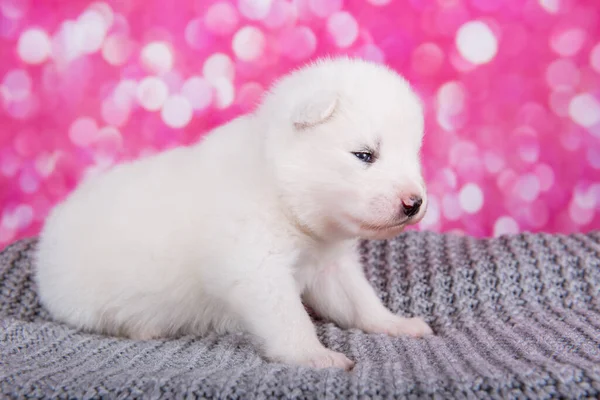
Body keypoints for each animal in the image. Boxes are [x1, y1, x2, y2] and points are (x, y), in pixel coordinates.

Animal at [35, 57, 432, 370]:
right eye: (364, 155)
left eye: (414, 155)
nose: (415, 203)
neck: (282, 191)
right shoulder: (257, 268)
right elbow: (290, 318)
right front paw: (313, 354)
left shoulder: (331, 266)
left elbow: (360, 300)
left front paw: (395, 323)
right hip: (81, 301)